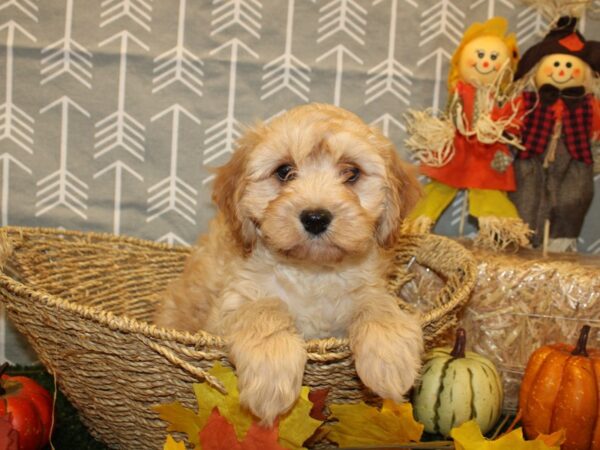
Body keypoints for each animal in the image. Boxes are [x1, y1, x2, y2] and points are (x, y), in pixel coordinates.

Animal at [157, 102, 424, 426]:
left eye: (351, 173)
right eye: (284, 171)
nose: (315, 217)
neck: (311, 271)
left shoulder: (366, 288)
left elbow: (376, 301)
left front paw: (389, 355)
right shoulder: (227, 309)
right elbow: (265, 307)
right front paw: (272, 370)